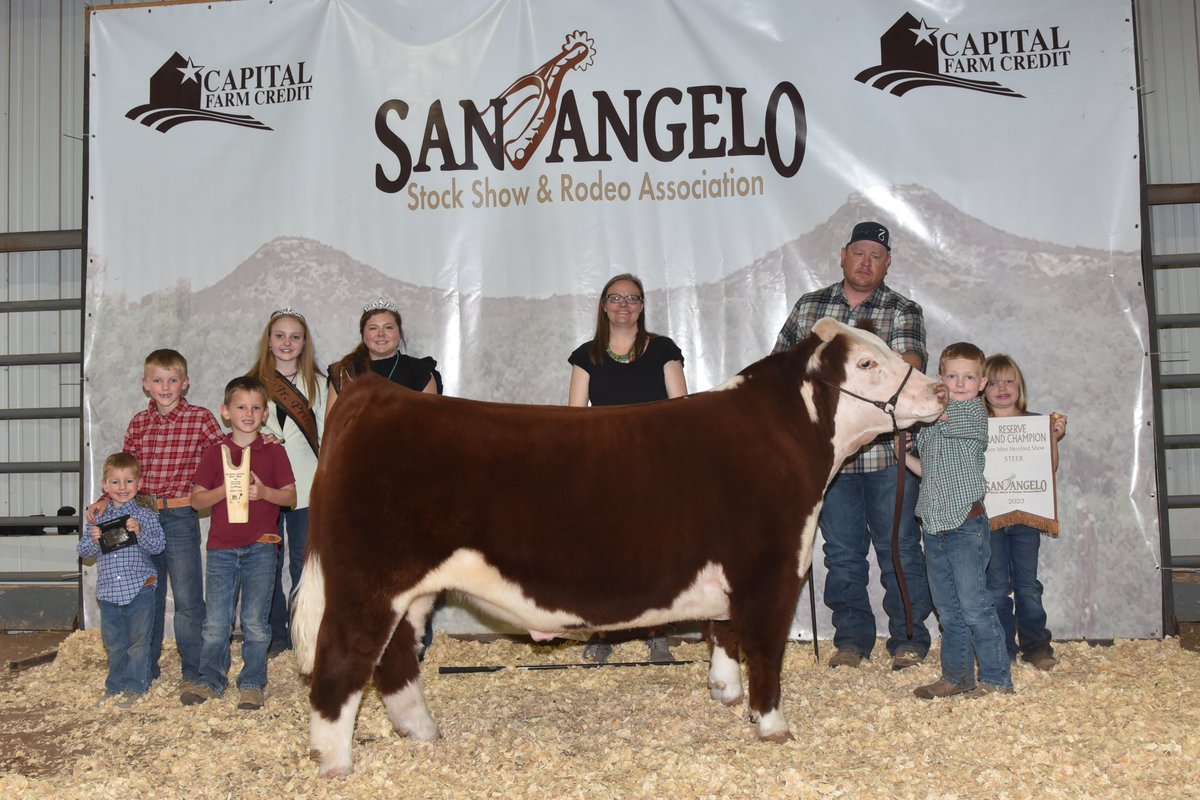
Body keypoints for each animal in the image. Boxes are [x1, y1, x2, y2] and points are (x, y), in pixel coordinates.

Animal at [293, 317, 947, 777]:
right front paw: (772, 725)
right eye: (867, 362)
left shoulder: (731, 576)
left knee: (396, 658)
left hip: (414, 590)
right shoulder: (770, 570)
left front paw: (724, 693)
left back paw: (422, 731)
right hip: (367, 581)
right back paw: (334, 761)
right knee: (344, 657)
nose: (940, 388)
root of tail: (373, 394)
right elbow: (764, 650)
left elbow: (724, 634)